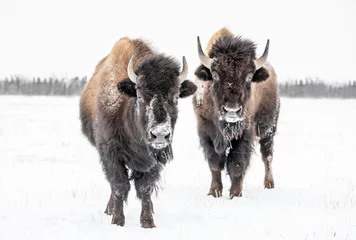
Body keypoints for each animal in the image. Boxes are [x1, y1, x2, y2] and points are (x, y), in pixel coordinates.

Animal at [192, 28, 280, 199]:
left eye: (249, 77)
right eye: (215, 75)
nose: (231, 110)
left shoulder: (244, 134)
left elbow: (237, 164)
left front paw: (235, 193)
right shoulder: (206, 131)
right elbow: (215, 163)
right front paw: (214, 192)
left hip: (268, 129)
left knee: (267, 156)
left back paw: (269, 184)